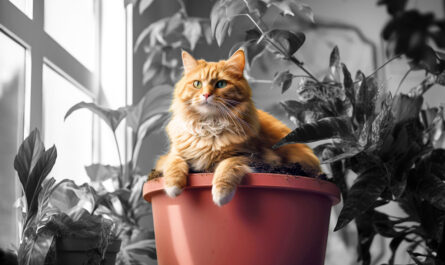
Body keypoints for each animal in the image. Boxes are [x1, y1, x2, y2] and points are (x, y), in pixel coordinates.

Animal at [156, 49, 320, 206]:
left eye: (221, 84)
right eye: (197, 84)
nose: (206, 94)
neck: (210, 126)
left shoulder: (250, 156)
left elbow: (227, 166)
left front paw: (221, 195)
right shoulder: (174, 153)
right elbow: (174, 163)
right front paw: (173, 188)